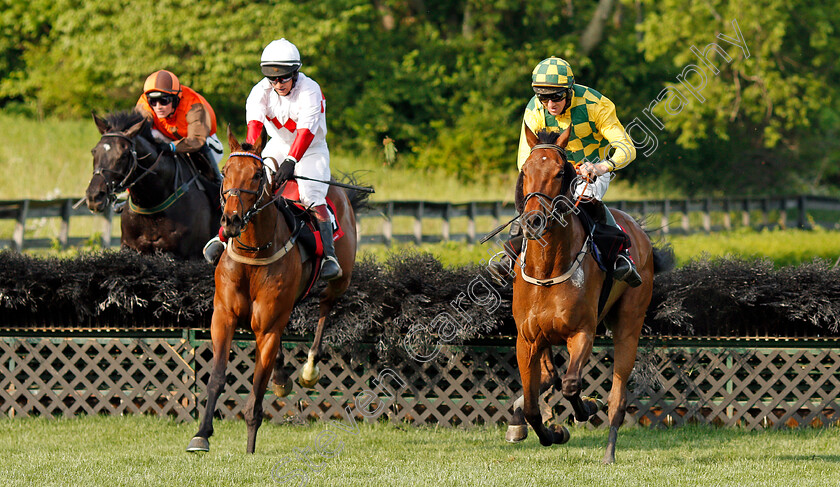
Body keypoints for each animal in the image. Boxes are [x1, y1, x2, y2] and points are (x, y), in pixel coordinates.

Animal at [85, 111, 220, 260]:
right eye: (94, 151)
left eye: (124, 154)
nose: (94, 196)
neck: (150, 206)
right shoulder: (130, 247)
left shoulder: (186, 255)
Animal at [187, 127, 360, 456]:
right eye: (225, 171)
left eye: (257, 175)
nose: (231, 220)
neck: (254, 253)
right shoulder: (224, 317)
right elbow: (217, 377)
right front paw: (201, 434)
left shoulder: (267, 328)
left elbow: (257, 388)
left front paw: (250, 445)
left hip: (340, 280)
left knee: (325, 306)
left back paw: (309, 369)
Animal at [506, 127, 676, 466]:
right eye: (525, 171)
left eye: (560, 172)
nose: (533, 222)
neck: (547, 270)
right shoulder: (527, 339)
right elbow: (532, 404)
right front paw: (550, 432)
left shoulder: (582, 331)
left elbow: (571, 384)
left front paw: (584, 409)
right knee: (548, 378)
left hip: (629, 325)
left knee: (617, 398)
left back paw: (609, 450)